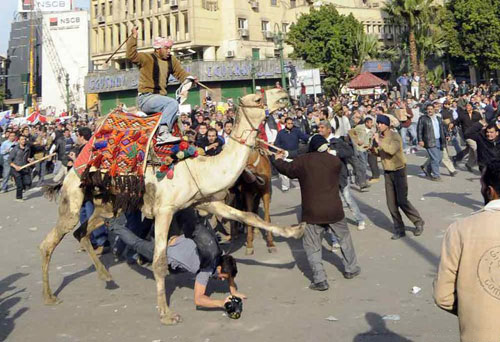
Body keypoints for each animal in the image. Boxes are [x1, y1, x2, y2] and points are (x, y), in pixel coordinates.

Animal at [38, 92, 304, 324]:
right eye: (258, 99)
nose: (283, 94)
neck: (199, 168)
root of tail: (74, 164)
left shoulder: (204, 201)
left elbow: (248, 215)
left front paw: (295, 231)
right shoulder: (164, 209)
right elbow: (159, 261)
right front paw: (166, 314)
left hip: (107, 205)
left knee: (81, 231)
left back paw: (106, 276)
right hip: (73, 197)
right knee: (51, 241)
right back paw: (49, 297)